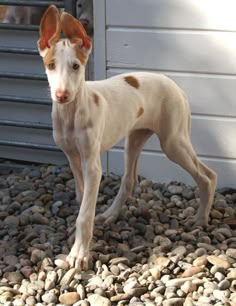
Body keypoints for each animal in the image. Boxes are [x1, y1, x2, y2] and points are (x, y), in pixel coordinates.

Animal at [37, 5, 217, 270]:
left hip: (173, 142)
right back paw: (110, 214)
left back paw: (201, 219)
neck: (72, 114)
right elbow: (82, 201)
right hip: (135, 139)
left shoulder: (92, 166)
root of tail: (176, 86)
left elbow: (84, 214)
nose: (61, 95)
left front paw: (79, 254)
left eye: (76, 66)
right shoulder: (73, 159)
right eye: (50, 65)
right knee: (130, 180)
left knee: (207, 175)